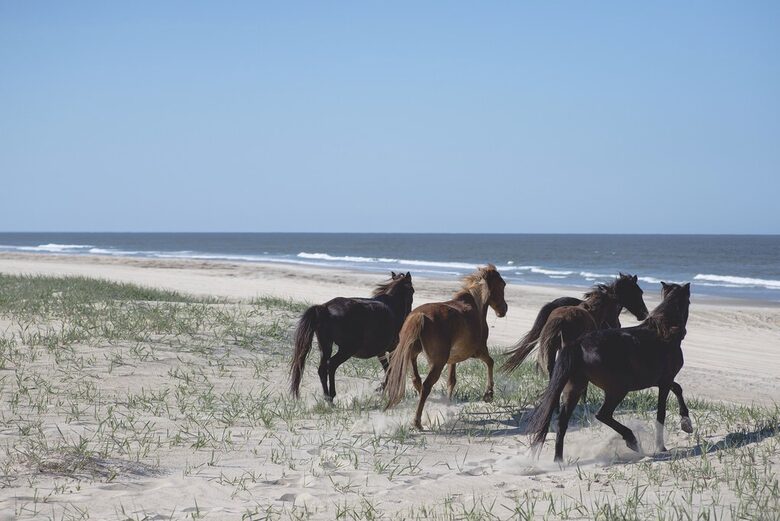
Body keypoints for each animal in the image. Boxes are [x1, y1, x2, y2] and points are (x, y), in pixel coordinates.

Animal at [289, 271, 414, 402]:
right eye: (412, 290)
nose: (407, 315)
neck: (392, 306)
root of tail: (325, 308)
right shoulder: (392, 349)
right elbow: (392, 369)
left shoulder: (381, 352)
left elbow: (388, 369)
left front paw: (382, 389)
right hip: (347, 349)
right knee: (331, 365)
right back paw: (332, 396)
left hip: (325, 346)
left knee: (322, 369)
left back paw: (327, 398)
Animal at [384, 264, 508, 430]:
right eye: (502, 284)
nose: (504, 309)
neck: (475, 305)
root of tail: (419, 316)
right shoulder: (479, 351)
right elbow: (490, 362)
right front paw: (488, 394)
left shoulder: (453, 359)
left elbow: (451, 381)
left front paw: (447, 405)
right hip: (437, 363)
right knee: (426, 386)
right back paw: (417, 422)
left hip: (412, 356)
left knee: (417, 381)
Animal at [526, 282, 693, 462]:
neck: (664, 330)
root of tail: (578, 344)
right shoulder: (665, 381)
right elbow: (661, 413)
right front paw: (662, 446)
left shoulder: (660, 380)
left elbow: (678, 388)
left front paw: (686, 423)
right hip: (617, 389)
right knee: (602, 415)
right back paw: (632, 440)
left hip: (574, 388)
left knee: (562, 422)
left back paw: (559, 460)